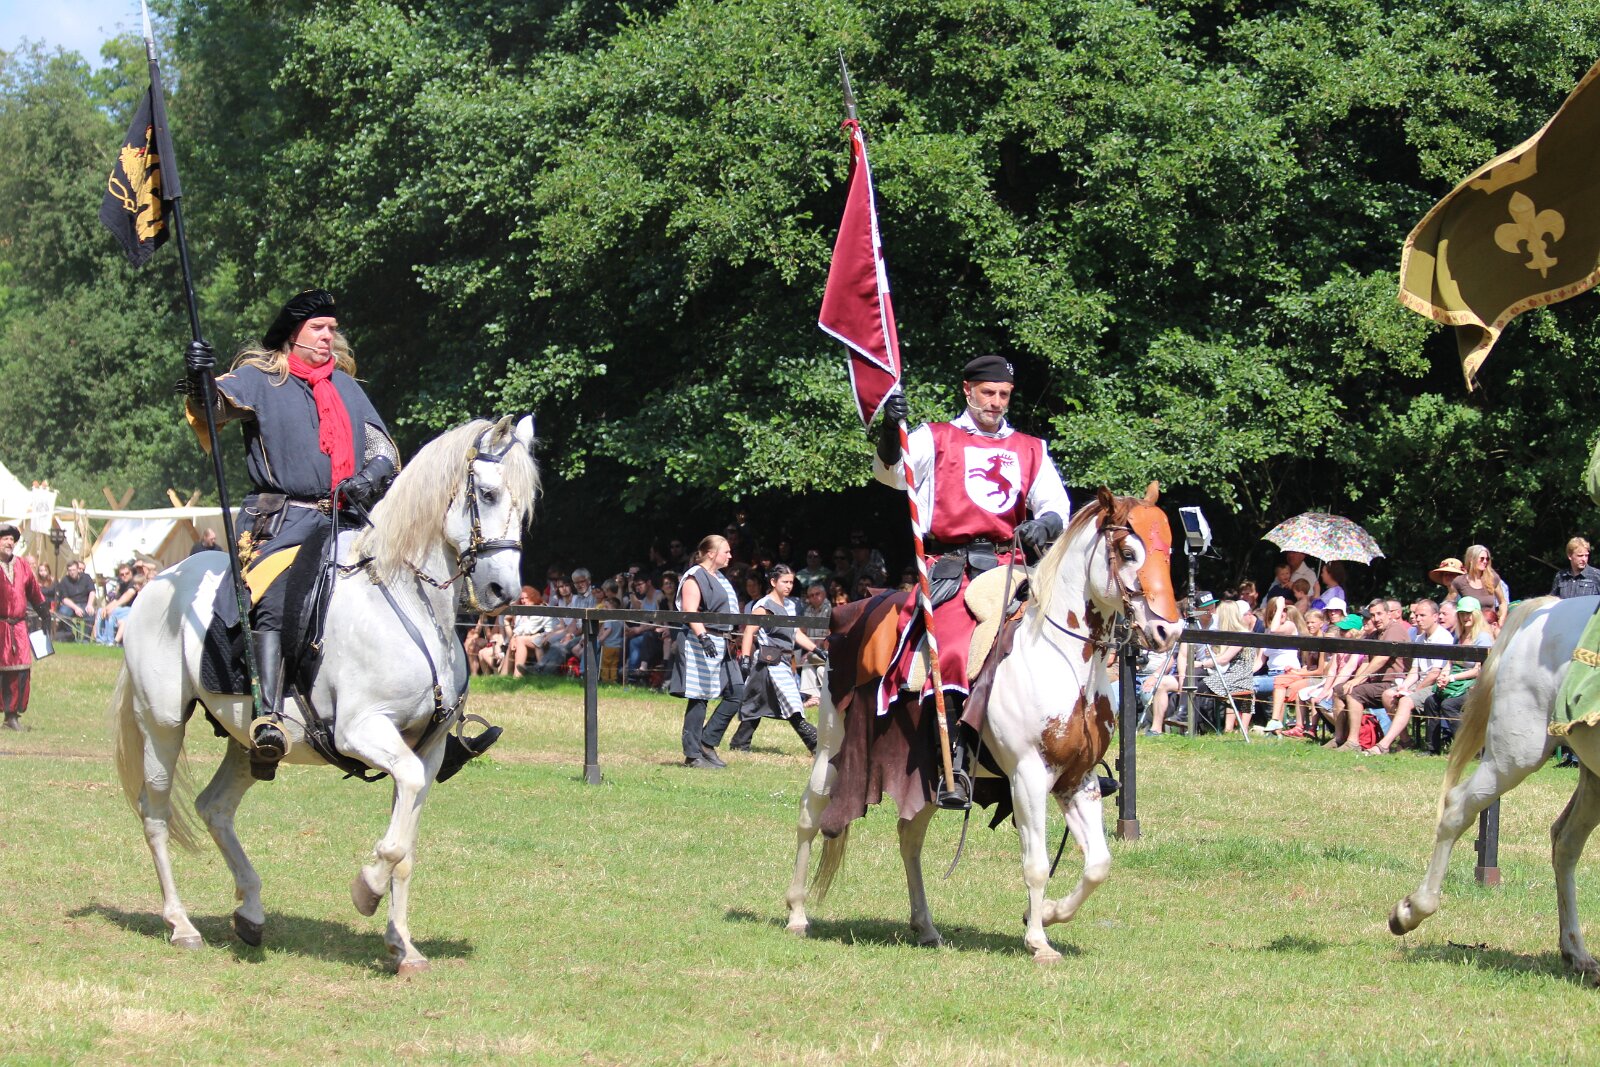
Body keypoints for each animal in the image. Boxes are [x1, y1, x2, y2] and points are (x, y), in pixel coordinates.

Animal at [111, 415, 538, 975]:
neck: (407, 600)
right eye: (486, 493)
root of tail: (158, 583)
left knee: (214, 807)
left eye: (524, 505)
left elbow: (407, 844)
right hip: (162, 725)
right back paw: (181, 925)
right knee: (156, 813)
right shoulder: (363, 731)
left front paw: (403, 947)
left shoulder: (427, 750)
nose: (502, 592)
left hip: (249, 741)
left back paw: (250, 912)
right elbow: (396, 839)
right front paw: (367, 889)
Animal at [784, 484, 1182, 963]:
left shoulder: (1078, 779)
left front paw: (1046, 914)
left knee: (909, 835)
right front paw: (1039, 941)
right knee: (810, 816)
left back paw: (925, 926)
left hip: (931, 770)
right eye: (1127, 552)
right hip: (832, 750)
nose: (1168, 631)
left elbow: (1098, 865)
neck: (1059, 655)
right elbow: (1036, 864)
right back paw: (797, 914)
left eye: (1169, 552)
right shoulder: (1028, 775)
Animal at [1389, 594, 1600, 981]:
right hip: (1514, 754)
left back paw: (1576, 953)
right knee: (1457, 809)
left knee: (1565, 842)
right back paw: (1411, 911)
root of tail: (1544, 609)